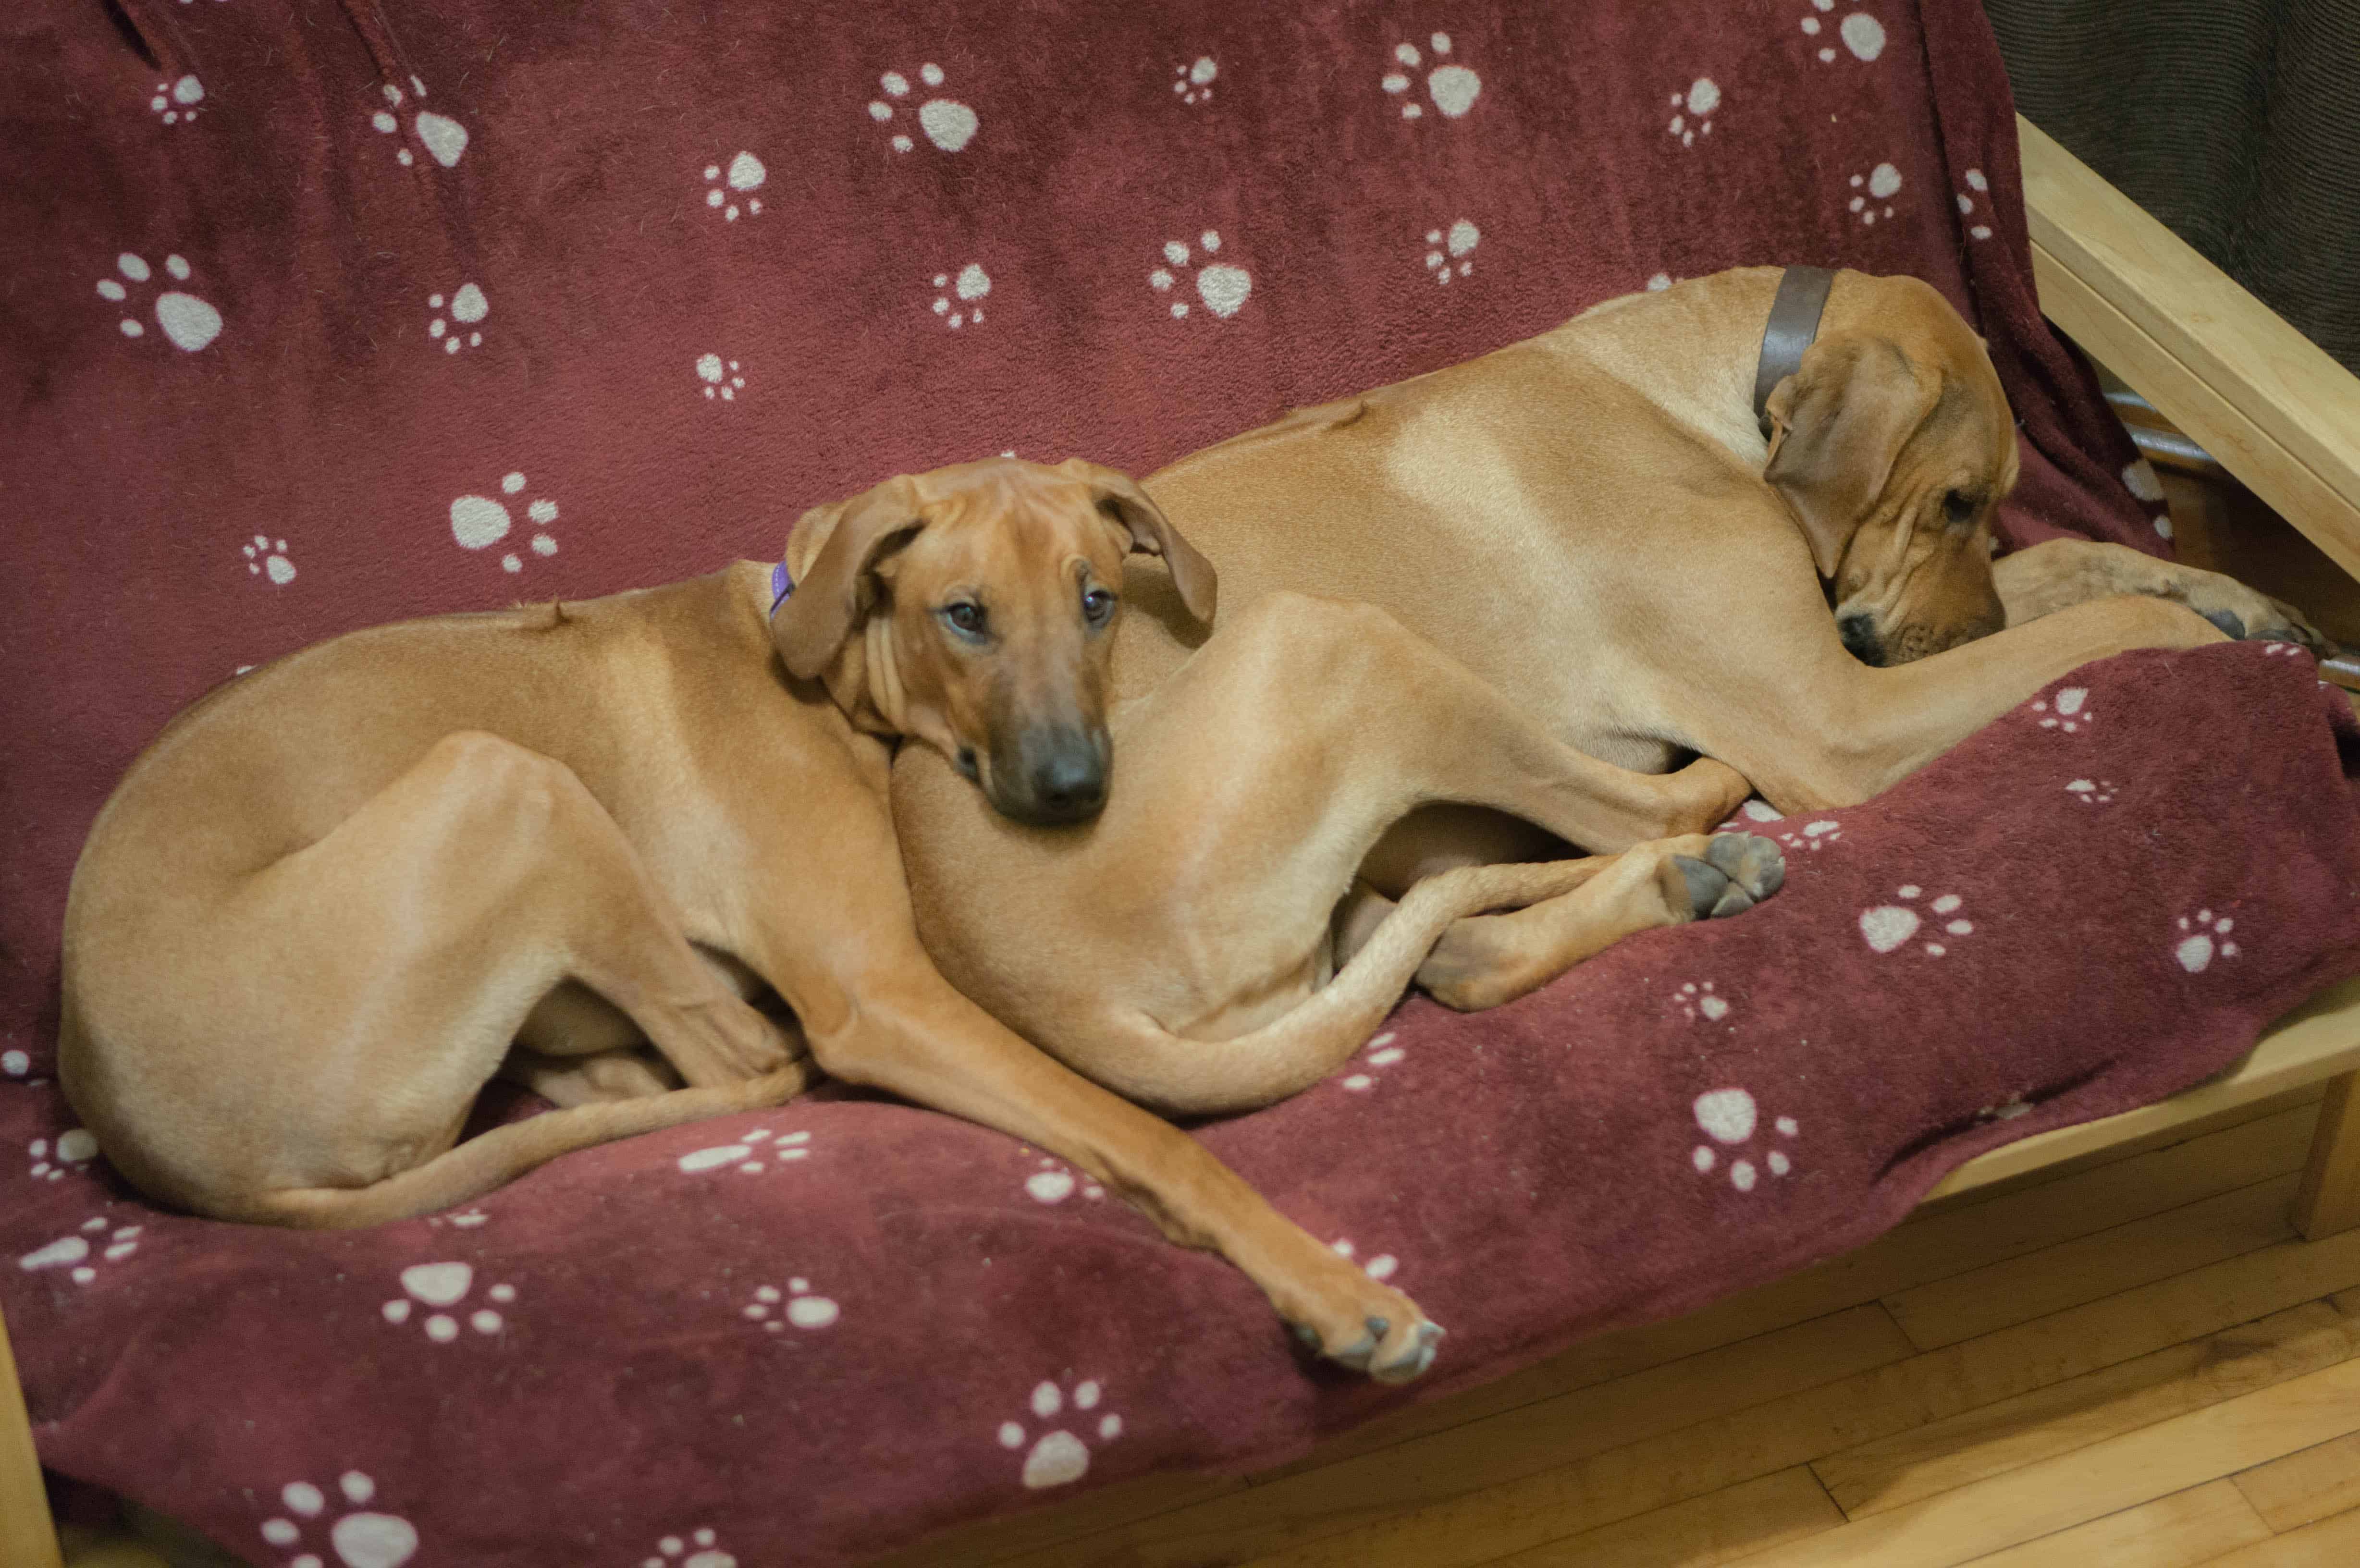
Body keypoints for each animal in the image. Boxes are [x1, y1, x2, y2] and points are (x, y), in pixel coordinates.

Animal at [60, 460, 1510, 1379]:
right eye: (964, 616)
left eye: (1096, 599)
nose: (1073, 793)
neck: (823, 676)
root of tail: (157, 1147)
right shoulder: (887, 996)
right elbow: (1155, 1141)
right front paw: (1335, 1292)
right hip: (509, 782)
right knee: (737, 1055)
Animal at [887, 263, 2322, 1350]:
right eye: (1957, 498)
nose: (1945, 631)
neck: (1692, 390)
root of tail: (1000, 970)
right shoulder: (1837, 717)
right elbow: (2093, 626)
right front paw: (2193, 630)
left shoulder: (1860, 648)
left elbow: (2078, 564)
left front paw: (2231, 594)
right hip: (1350, 642)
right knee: (1632, 817)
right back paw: (1704, 839)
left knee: (1460, 950)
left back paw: (1686, 883)